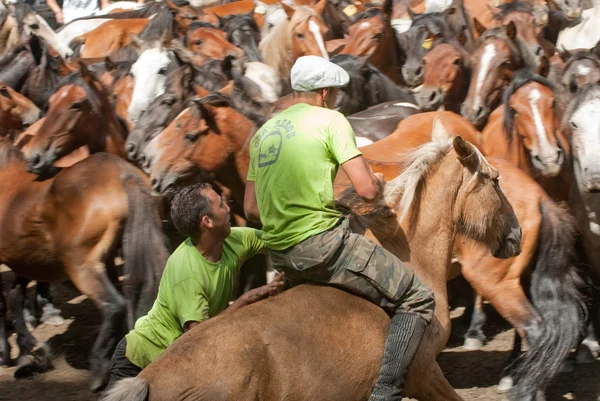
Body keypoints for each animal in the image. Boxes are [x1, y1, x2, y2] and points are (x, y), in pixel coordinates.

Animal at [0, 138, 169, 390]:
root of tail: (122, 173)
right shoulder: (25, 259)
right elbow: (15, 297)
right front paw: (27, 353)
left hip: (81, 265)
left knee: (114, 305)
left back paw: (98, 369)